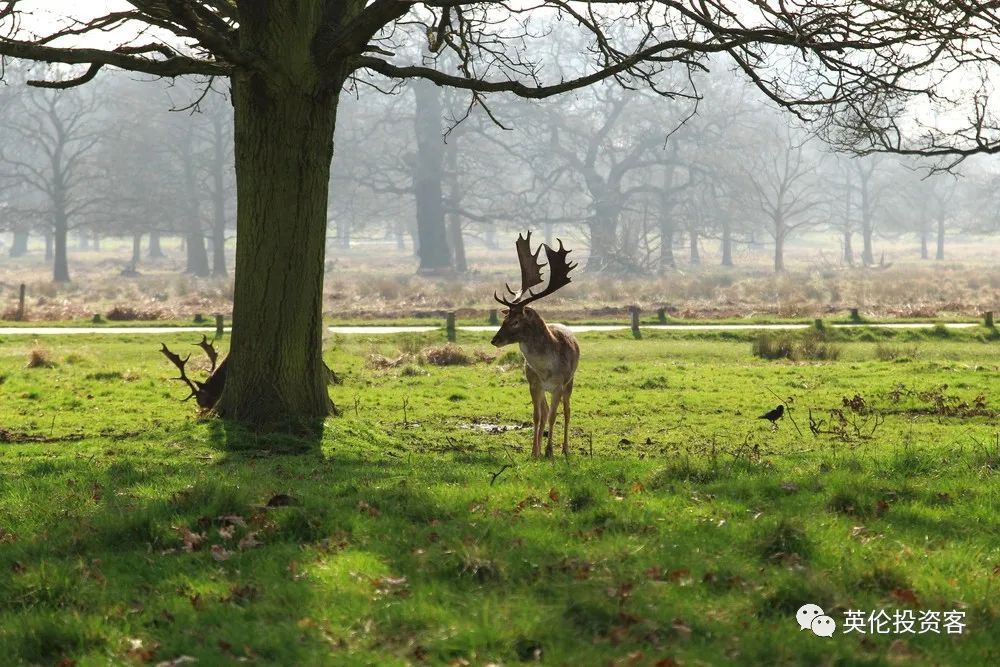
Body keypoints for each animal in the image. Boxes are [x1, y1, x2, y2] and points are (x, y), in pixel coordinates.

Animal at [490, 232, 580, 456]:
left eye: (515, 321)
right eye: (504, 318)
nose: (495, 340)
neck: (545, 369)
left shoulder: (558, 384)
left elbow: (554, 416)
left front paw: (549, 451)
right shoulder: (533, 383)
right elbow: (538, 416)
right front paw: (534, 452)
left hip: (570, 381)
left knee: (567, 411)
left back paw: (565, 449)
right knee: (546, 411)